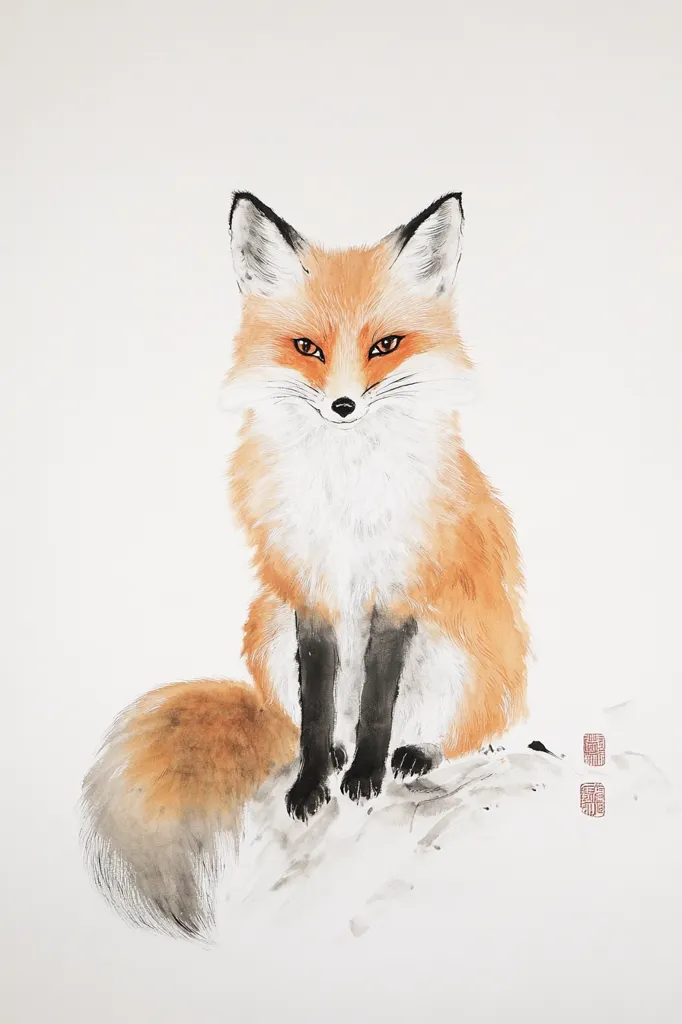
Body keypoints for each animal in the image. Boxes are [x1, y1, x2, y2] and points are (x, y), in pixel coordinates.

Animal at [81, 191, 529, 940]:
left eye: (384, 346)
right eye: (307, 349)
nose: (343, 405)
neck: (344, 487)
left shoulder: (395, 593)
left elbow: (377, 704)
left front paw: (366, 780)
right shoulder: (309, 594)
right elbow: (318, 713)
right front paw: (314, 784)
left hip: (463, 655)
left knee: (465, 732)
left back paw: (413, 755)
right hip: (266, 624)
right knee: (305, 721)